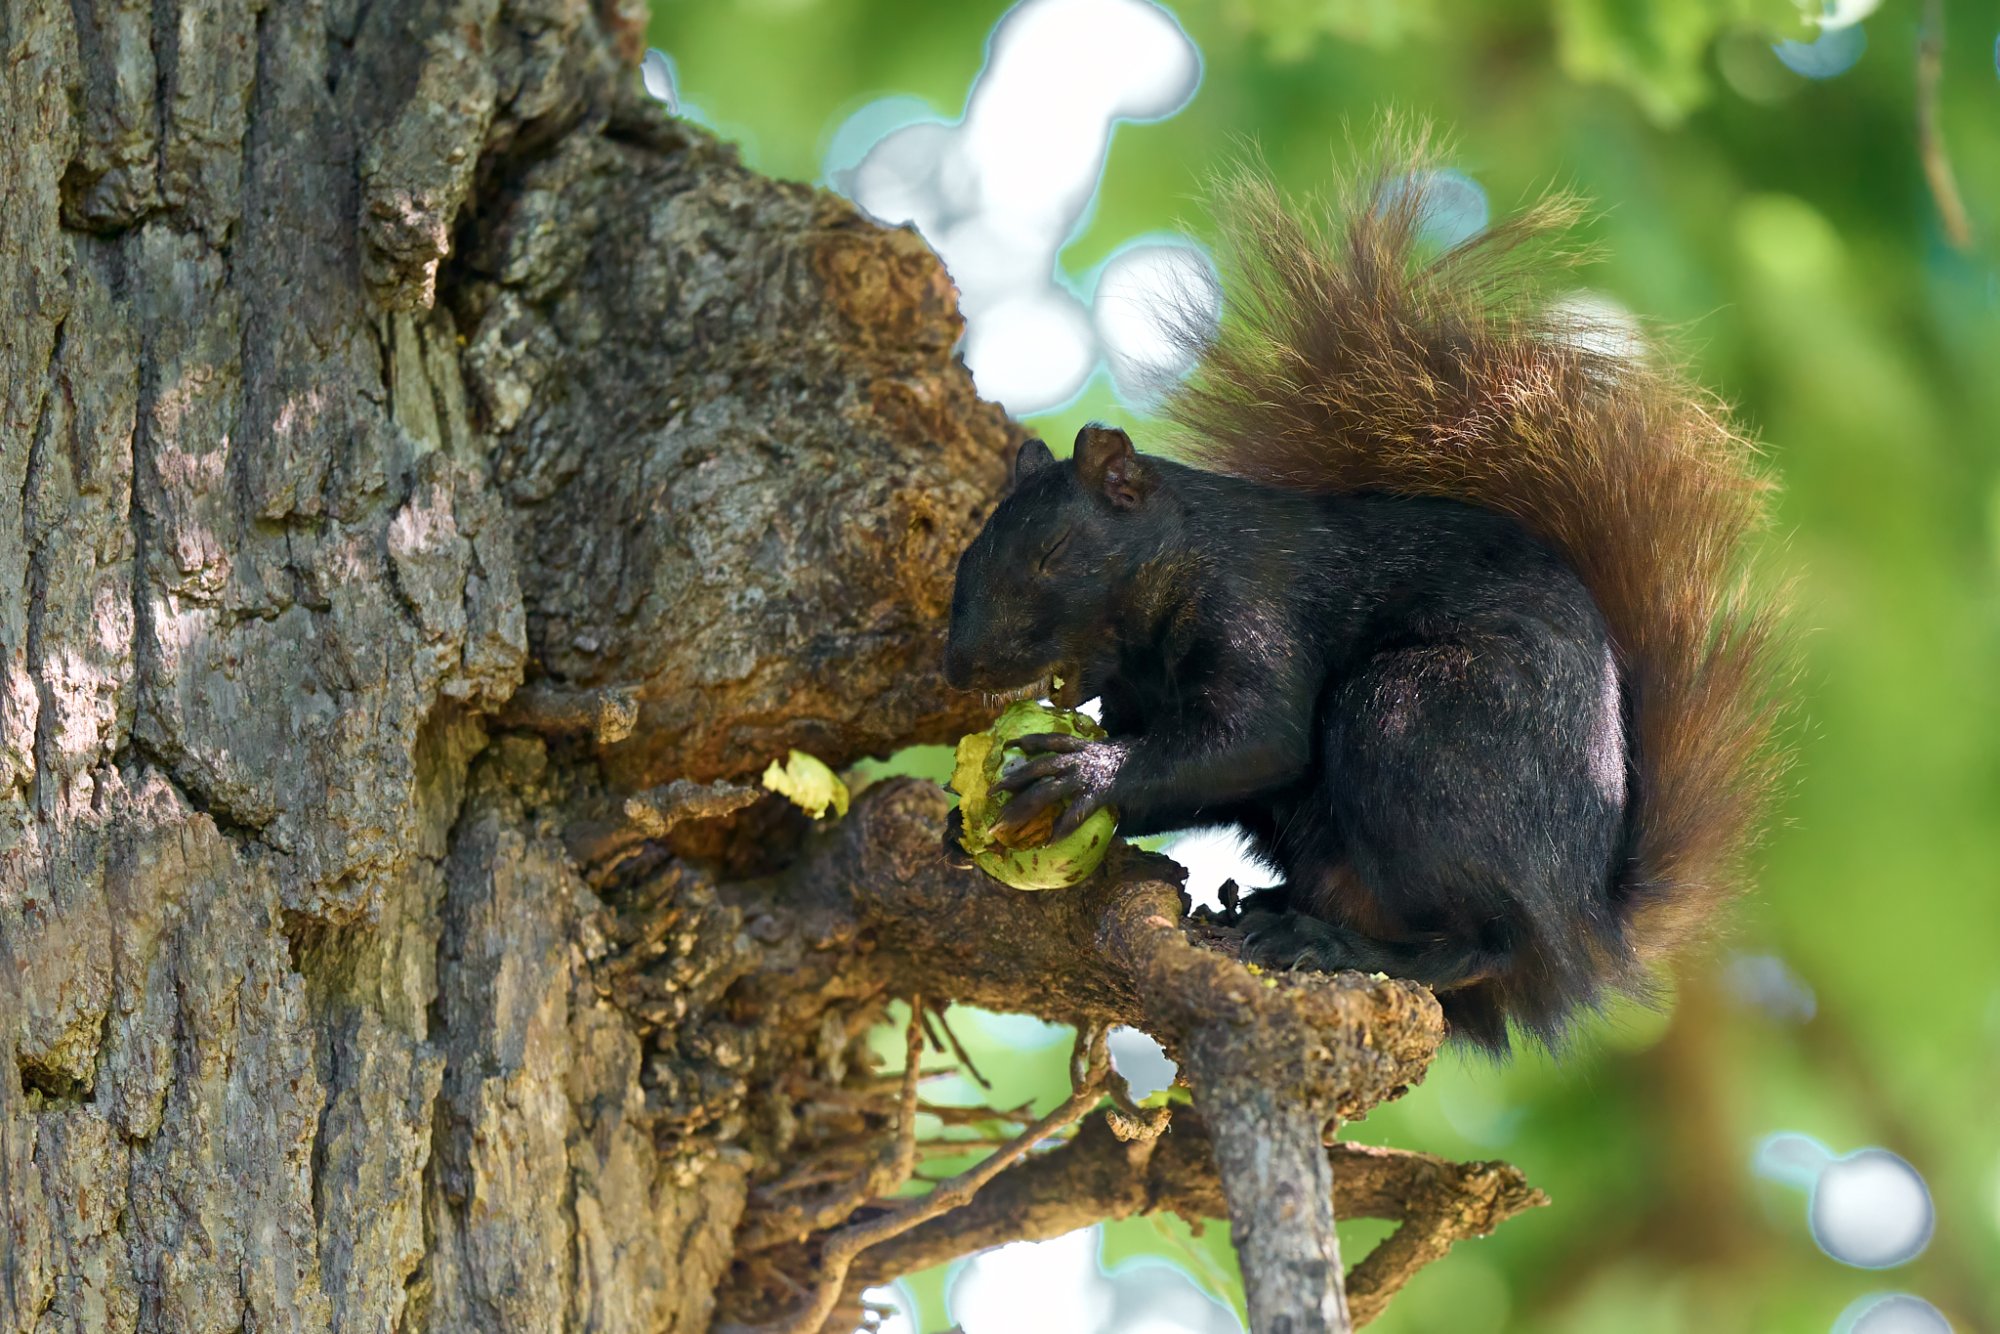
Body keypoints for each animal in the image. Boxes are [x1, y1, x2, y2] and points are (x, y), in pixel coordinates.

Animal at [944, 149, 1792, 1056]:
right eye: (966, 556)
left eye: (1053, 554)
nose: (960, 666)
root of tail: (1585, 929)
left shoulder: (1256, 604)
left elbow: (1258, 739)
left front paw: (1082, 772)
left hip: (1417, 728)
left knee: (1484, 941)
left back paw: (1331, 943)